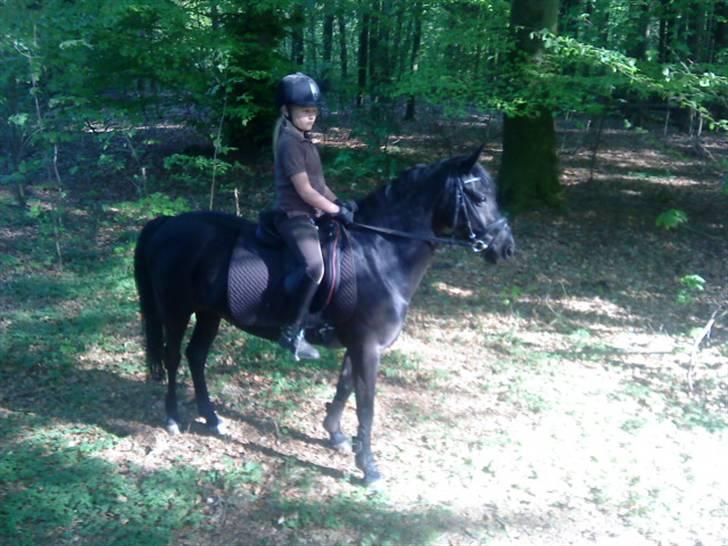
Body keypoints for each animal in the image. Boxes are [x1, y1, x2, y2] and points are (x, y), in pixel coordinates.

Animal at [133, 145, 514, 486]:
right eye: (479, 197)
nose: (506, 249)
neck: (379, 254)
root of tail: (167, 224)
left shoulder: (358, 343)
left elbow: (345, 386)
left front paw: (337, 436)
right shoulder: (368, 347)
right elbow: (366, 404)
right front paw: (369, 468)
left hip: (209, 313)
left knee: (196, 356)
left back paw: (212, 419)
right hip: (177, 310)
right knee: (172, 356)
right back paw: (172, 418)